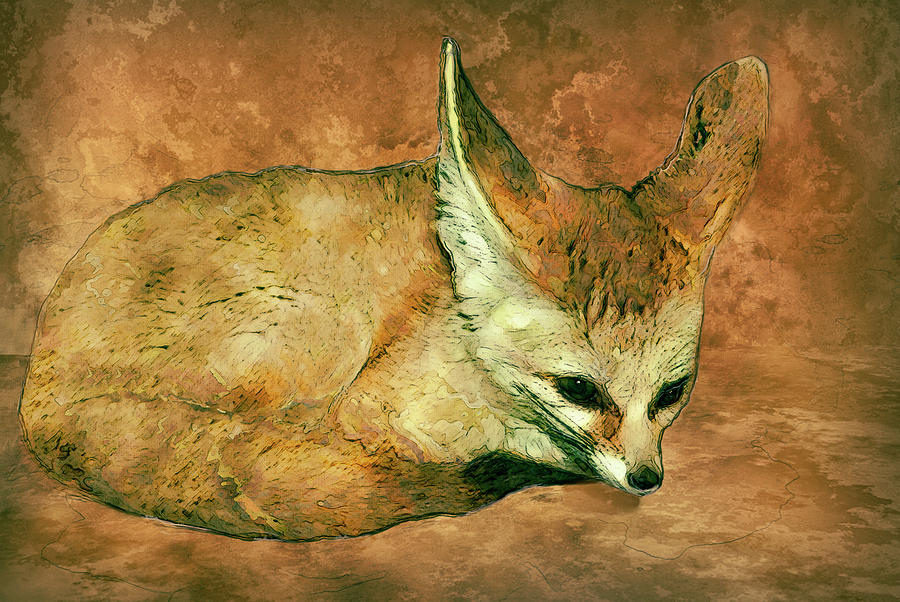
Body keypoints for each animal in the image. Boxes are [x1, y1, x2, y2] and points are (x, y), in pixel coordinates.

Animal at [18, 38, 768, 541]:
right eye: (578, 389)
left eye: (673, 393)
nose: (647, 480)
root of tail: (38, 383)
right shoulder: (367, 414)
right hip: (317, 333)